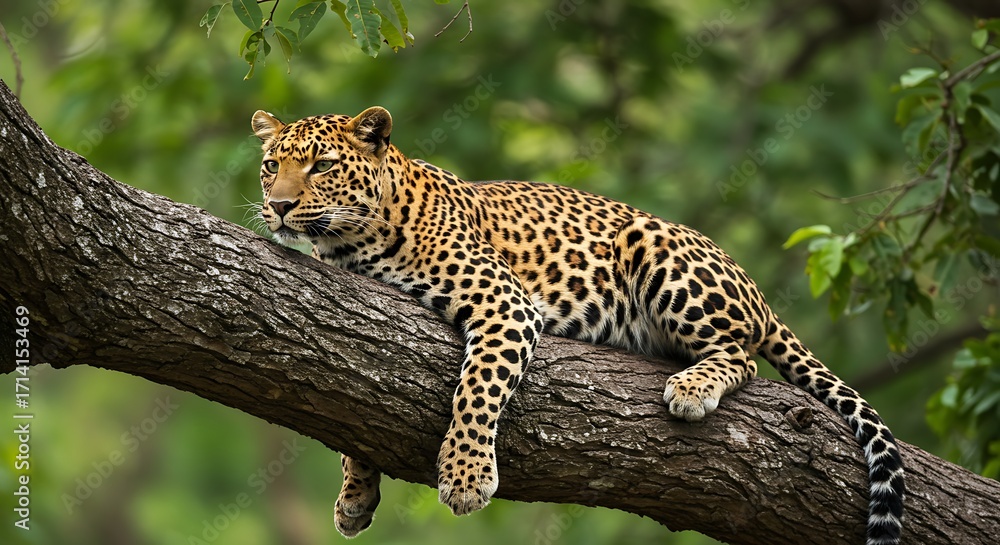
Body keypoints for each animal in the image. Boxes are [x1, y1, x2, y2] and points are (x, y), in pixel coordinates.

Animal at [251, 106, 905, 545]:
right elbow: (354, 413)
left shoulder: (506, 304)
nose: (278, 207)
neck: (350, 244)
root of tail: (757, 292)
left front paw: (465, 476)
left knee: (740, 352)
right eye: (270, 166)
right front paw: (355, 495)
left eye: (322, 166)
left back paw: (692, 387)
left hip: (656, 245)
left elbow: (476, 391)